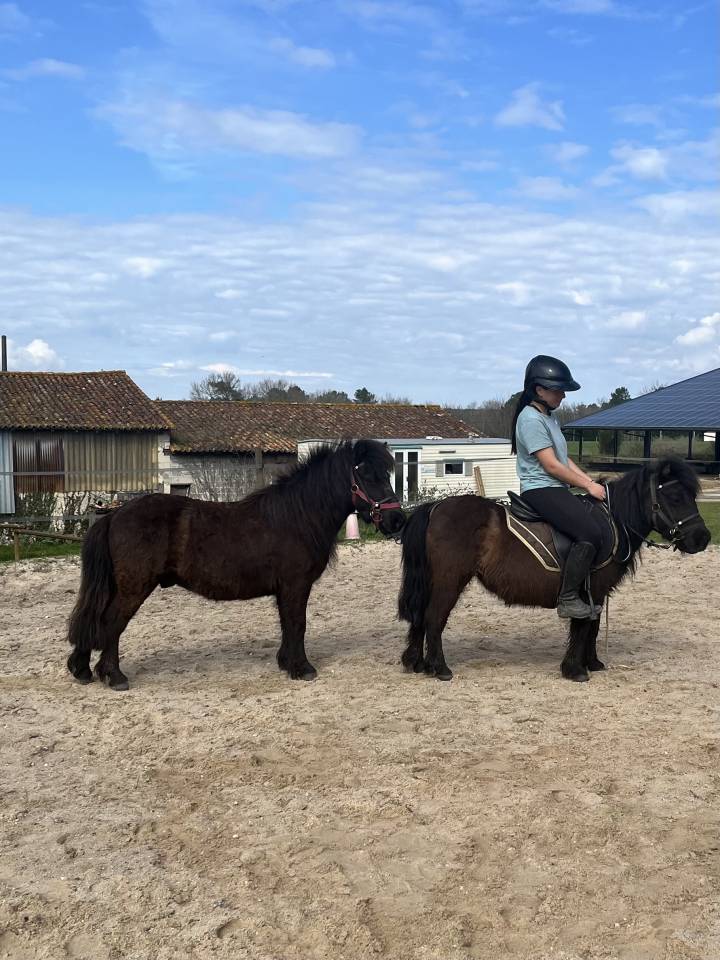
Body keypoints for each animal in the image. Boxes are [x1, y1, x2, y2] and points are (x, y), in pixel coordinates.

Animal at [67, 438, 404, 690]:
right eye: (367, 474)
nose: (397, 520)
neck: (298, 517)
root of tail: (114, 515)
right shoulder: (296, 585)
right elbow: (298, 624)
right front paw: (303, 668)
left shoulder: (285, 590)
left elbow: (287, 625)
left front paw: (286, 662)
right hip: (133, 587)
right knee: (111, 622)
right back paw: (114, 676)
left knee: (93, 620)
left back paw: (81, 669)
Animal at [398, 457, 711, 682]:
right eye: (675, 497)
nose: (703, 538)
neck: (613, 521)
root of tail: (435, 507)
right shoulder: (589, 590)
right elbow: (583, 627)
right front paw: (575, 669)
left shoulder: (597, 594)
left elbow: (593, 627)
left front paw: (593, 663)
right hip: (450, 581)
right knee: (434, 619)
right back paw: (439, 668)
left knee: (420, 618)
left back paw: (416, 662)